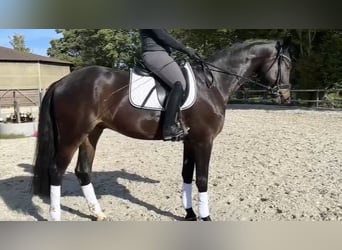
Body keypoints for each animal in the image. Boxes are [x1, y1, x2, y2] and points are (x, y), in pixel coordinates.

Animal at [32, 38, 292, 221]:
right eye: (286, 64)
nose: (286, 96)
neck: (212, 84)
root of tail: (62, 82)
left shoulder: (190, 140)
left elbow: (187, 175)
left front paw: (190, 214)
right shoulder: (204, 140)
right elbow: (202, 179)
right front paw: (205, 217)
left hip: (91, 133)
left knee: (83, 171)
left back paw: (98, 213)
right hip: (71, 135)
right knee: (56, 170)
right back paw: (56, 216)